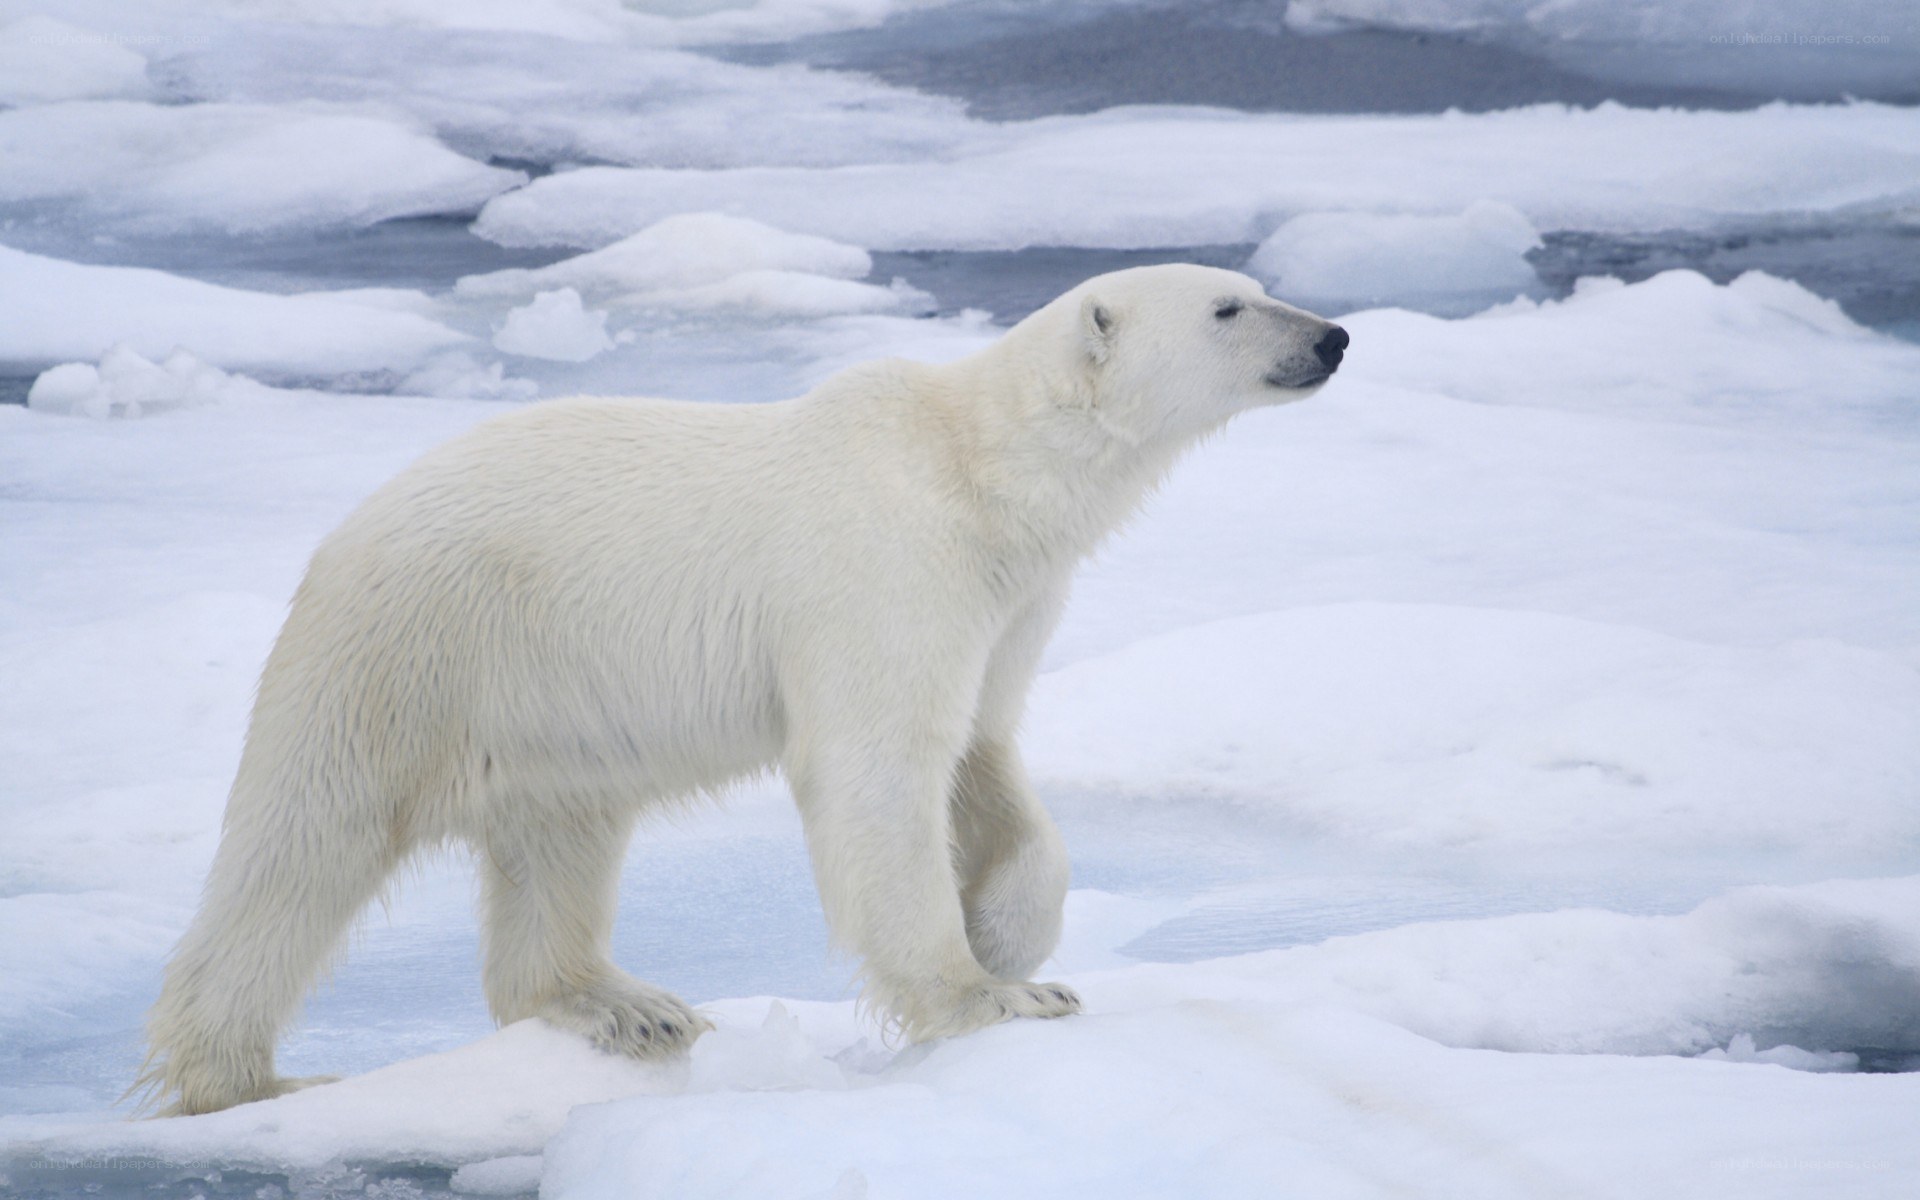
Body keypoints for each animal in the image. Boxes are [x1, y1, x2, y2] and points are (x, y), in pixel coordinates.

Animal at [139, 263, 1347, 1115]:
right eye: (1230, 306)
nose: (1333, 336)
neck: (980, 468)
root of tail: (345, 532)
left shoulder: (1008, 598)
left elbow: (983, 751)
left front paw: (1010, 937)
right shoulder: (885, 561)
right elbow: (879, 767)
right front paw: (990, 996)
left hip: (546, 703)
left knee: (560, 841)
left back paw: (623, 1005)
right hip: (411, 650)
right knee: (306, 844)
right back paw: (245, 1078)